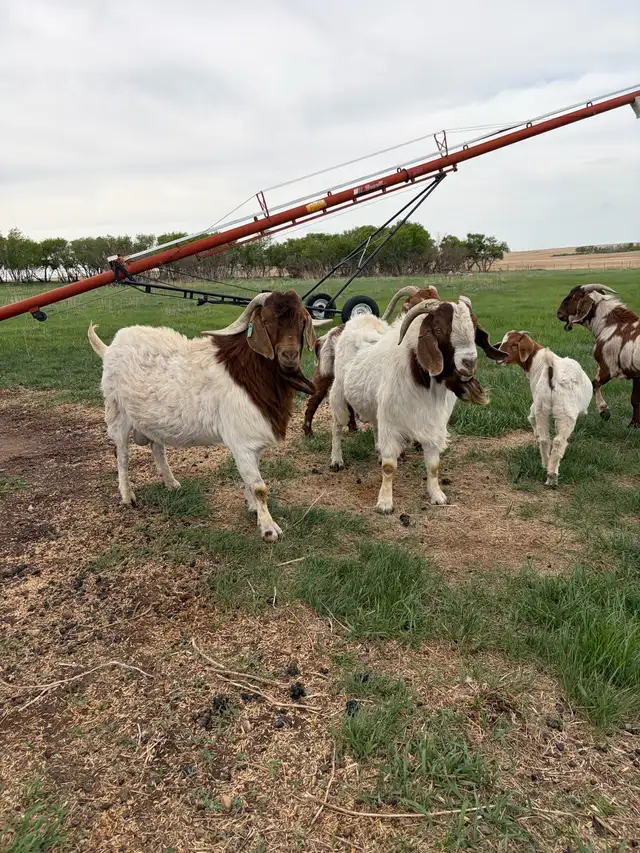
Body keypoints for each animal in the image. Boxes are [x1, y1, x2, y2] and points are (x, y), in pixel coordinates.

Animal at [88, 291, 326, 542]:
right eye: (267, 321)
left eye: (302, 321)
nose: (289, 355)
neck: (249, 373)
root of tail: (110, 348)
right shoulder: (241, 441)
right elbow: (259, 487)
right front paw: (269, 529)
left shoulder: (252, 442)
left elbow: (250, 482)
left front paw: (252, 507)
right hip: (118, 414)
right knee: (122, 456)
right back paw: (127, 496)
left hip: (151, 420)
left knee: (157, 448)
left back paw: (171, 483)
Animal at [328, 295, 505, 513]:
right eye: (438, 329)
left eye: (474, 327)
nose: (469, 363)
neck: (421, 377)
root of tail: (360, 320)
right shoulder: (392, 423)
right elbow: (389, 467)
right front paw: (385, 503)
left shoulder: (434, 424)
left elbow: (434, 466)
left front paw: (437, 496)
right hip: (339, 395)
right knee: (337, 426)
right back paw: (336, 460)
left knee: (374, 425)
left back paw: (377, 451)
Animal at [497, 331, 592, 487]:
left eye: (513, 344)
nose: (498, 357)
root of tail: (551, 370)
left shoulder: (536, 403)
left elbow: (531, 418)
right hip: (566, 412)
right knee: (559, 441)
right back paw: (552, 475)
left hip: (542, 405)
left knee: (545, 439)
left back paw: (546, 465)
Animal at [556, 284, 640, 427]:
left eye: (575, 297)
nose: (559, 313)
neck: (611, 325)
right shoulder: (635, 374)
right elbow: (635, 399)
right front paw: (633, 425)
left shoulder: (607, 367)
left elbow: (594, 384)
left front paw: (604, 412)